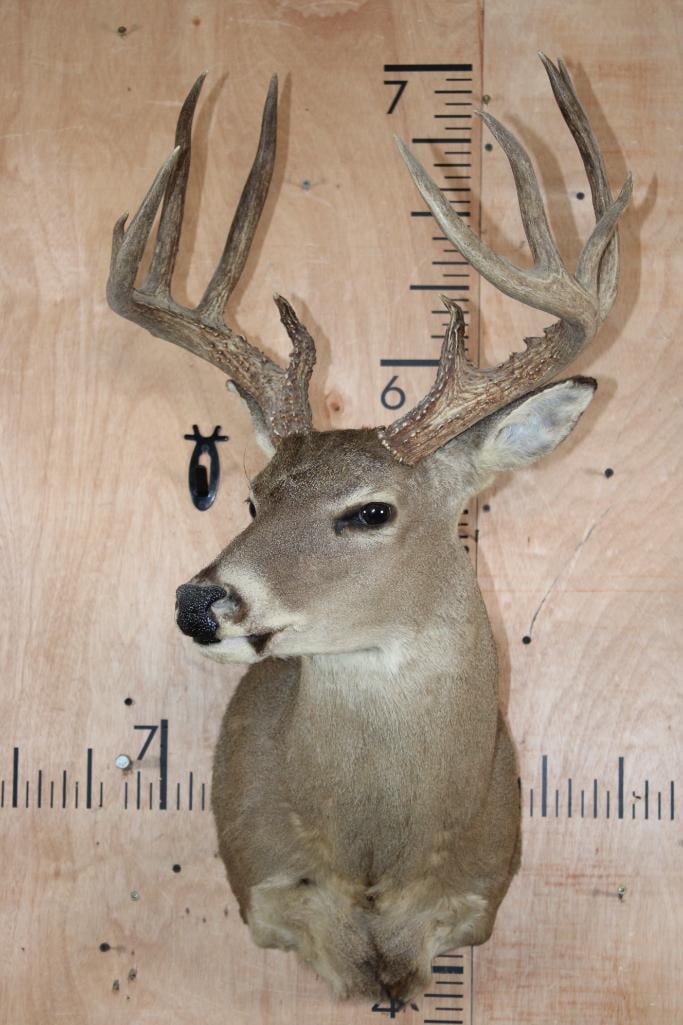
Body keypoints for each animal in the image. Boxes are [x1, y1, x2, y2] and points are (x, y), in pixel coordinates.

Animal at [107, 56, 631, 1003]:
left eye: (370, 510)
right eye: (253, 498)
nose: (199, 602)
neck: (377, 851)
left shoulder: (475, 895)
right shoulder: (267, 889)